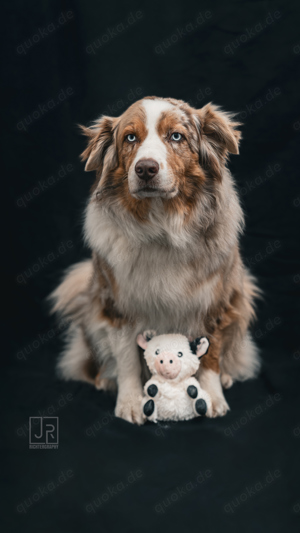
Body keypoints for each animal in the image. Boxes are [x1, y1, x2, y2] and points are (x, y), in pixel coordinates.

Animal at [50, 96, 258, 424]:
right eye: (130, 138)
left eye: (176, 136)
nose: (146, 168)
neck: (163, 227)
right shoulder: (119, 305)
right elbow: (127, 360)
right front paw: (131, 403)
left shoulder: (213, 302)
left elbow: (211, 355)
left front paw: (212, 396)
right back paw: (104, 379)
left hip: (241, 296)